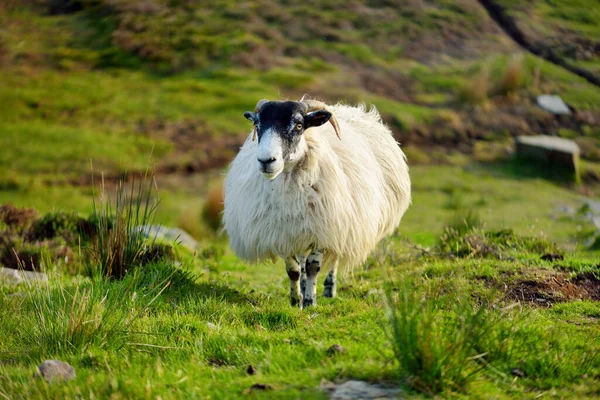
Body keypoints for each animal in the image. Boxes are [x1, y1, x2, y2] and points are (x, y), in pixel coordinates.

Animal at [223, 98, 410, 308]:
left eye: (298, 125)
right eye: (257, 124)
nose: (266, 160)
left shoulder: (324, 229)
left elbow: (313, 267)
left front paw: (310, 302)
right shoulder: (282, 232)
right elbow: (294, 270)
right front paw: (295, 301)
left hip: (341, 224)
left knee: (334, 258)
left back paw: (329, 289)